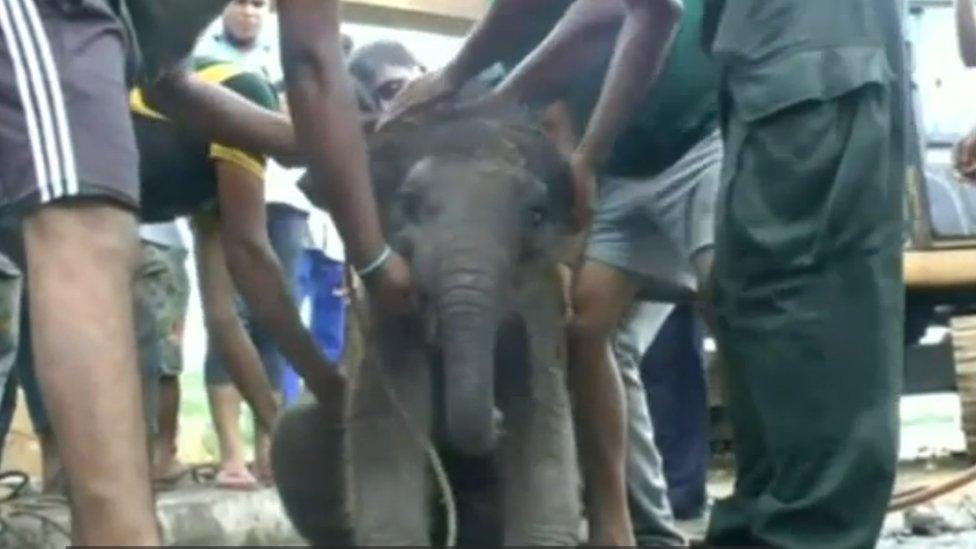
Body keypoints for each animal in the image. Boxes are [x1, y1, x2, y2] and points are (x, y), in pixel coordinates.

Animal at [270, 111, 584, 544]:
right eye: (409, 204)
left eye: (536, 215)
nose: (496, 418)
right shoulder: (386, 316)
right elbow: (385, 465)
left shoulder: (542, 300)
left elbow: (546, 441)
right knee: (291, 434)